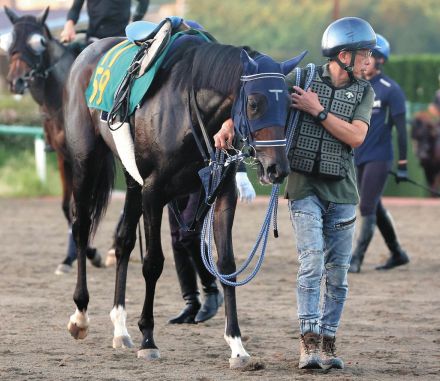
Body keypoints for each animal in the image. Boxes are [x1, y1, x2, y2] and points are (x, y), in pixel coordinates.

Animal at [65, 31, 304, 366]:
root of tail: (89, 51)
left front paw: (237, 346)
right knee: (82, 228)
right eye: (254, 103)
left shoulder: (221, 193)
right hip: (85, 163)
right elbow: (153, 263)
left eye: (290, 105)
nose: (277, 168)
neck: (190, 110)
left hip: (132, 180)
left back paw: (120, 328)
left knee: (124, 240)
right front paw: (148, 339)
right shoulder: (154, 193)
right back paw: (81, 315)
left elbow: (226, 265)